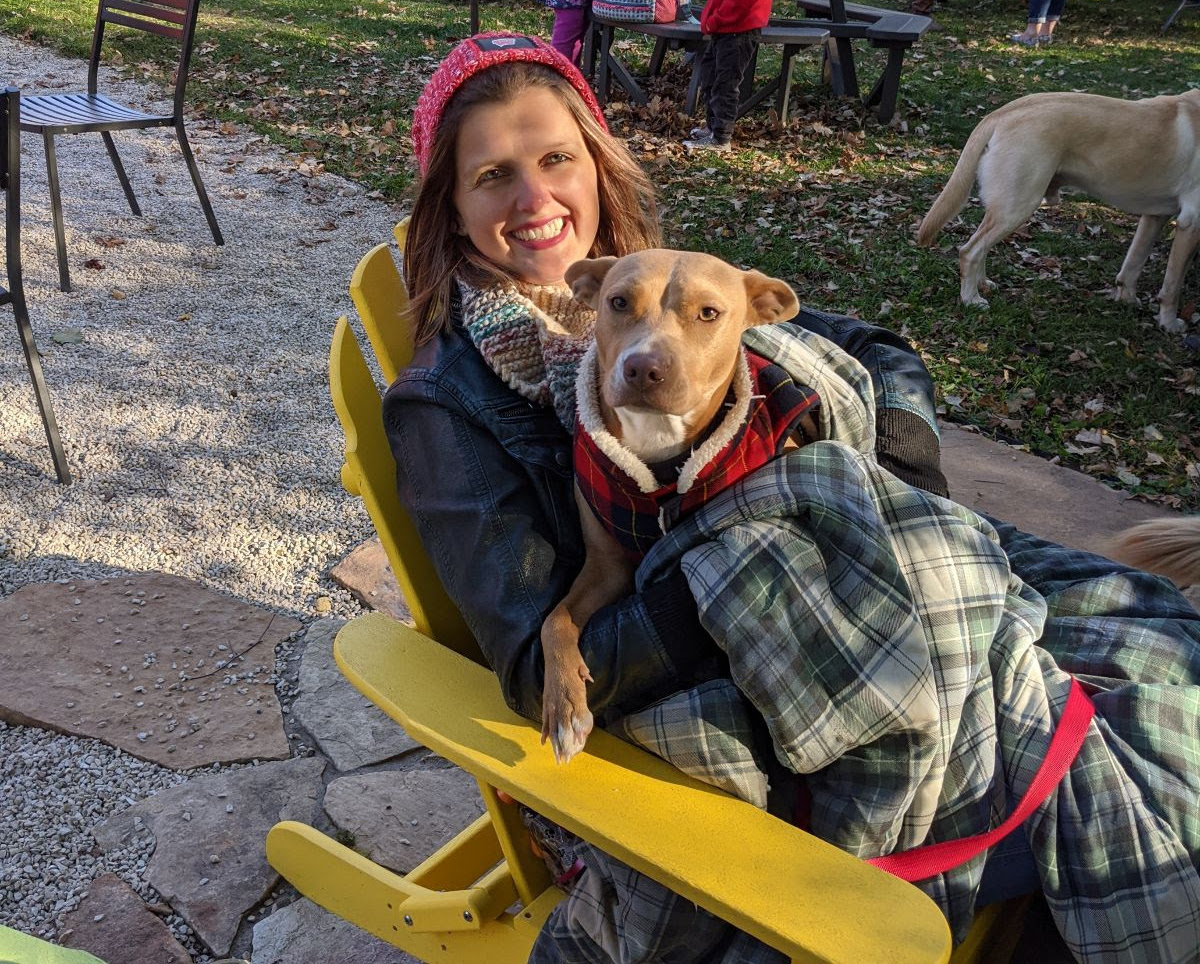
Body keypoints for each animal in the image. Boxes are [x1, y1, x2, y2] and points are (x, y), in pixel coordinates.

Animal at [544, 252, 806, 763]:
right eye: (618, 302)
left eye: (708, 313)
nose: (643, 368)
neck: (659, 445)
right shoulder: (604, 567)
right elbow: (554, 620)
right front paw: (563, 704)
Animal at [912, 90, 1200, 331]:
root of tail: (1001, 113)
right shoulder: (1191, 222)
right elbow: (1172, 285)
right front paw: (1169, 323)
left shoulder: (1155, 216)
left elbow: (1133, 264)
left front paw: (1127, 300)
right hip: (1017, 206)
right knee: (969, 250)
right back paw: (971, 298)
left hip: (1006, 205)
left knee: (979, 245)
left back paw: (982, 284)